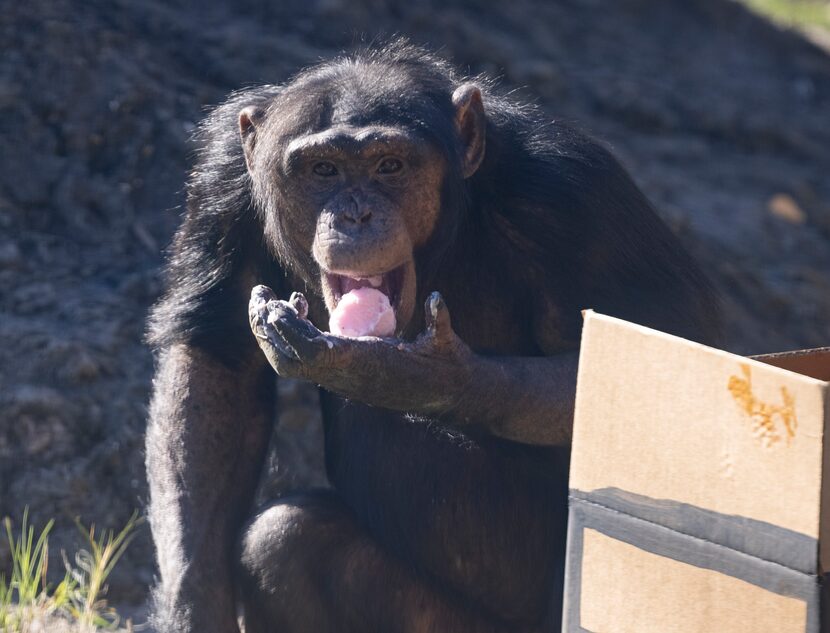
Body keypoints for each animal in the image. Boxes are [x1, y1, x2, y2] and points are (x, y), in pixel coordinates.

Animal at [148, 40, 720, 632]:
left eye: (390, 165)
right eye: (323, 170)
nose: (356, 214)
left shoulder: (576, 191)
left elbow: (661, 365)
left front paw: (410, 375)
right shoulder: (223, 180)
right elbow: (219, 360)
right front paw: (194, 610)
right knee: (286, 543)